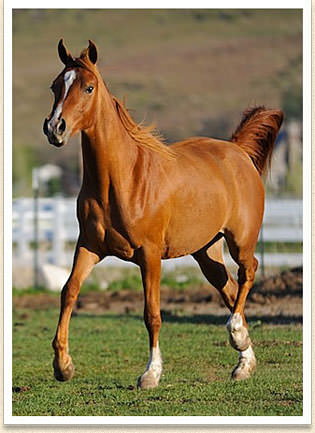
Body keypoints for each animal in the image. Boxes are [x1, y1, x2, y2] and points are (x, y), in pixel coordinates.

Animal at [42, 40, 284, 388]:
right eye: (55, 86)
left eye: (88, 87)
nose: (55, 128)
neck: (122, 179)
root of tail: (237, 150)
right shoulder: (88, 247)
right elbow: (68, 292)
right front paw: (63, 365)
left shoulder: (150, 254)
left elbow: (152, 313)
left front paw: (151, 373)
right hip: (206, 251)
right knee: (228, 288)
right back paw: (243, 364)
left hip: (240, 240)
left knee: (248, 272)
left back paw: (236, 333)